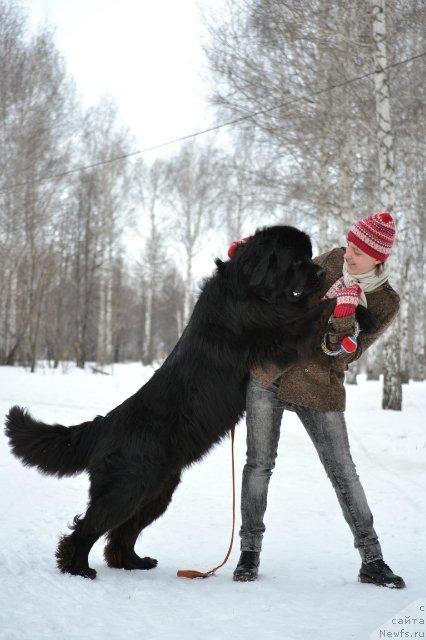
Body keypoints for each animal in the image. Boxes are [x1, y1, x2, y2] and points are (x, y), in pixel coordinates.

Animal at [5, 226, 330, 580]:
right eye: (297, 260)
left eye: (308, 256)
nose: (321, 272)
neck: (248, 288)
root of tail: (106, 424)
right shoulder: (273, 335)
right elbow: (308, 317)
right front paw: (343, 300)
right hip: (126, 489)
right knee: (87, 528)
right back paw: (78, 568)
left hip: (156, 491)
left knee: (121, 535)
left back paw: (134, 562)